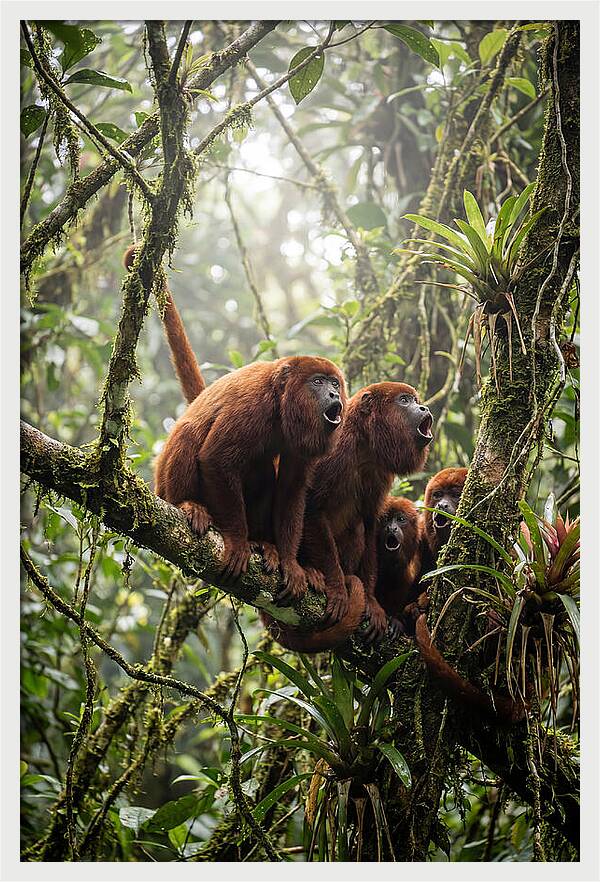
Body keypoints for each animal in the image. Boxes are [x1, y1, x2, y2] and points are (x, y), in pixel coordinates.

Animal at [124, 245, 347, 595]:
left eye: (335, 382)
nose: (335, 394)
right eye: (318, 382)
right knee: (189, 434)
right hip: (164, 485)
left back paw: (264, 544)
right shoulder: (252, 405)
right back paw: (190, 507)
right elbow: (215, 458)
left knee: (264, 472)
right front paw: (239, 542)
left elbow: (292, 489)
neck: (281, 404)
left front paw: (290, 562)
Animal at [262, 383, 434, 651]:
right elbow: (311, 508)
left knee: (358, 527)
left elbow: (371, 523)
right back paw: (311, 571)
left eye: (416, 400)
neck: (363, 443)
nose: (424, 407)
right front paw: (337, 588)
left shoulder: (379, 472)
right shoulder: (334, 448)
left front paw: (372, 602)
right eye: (405, 401)